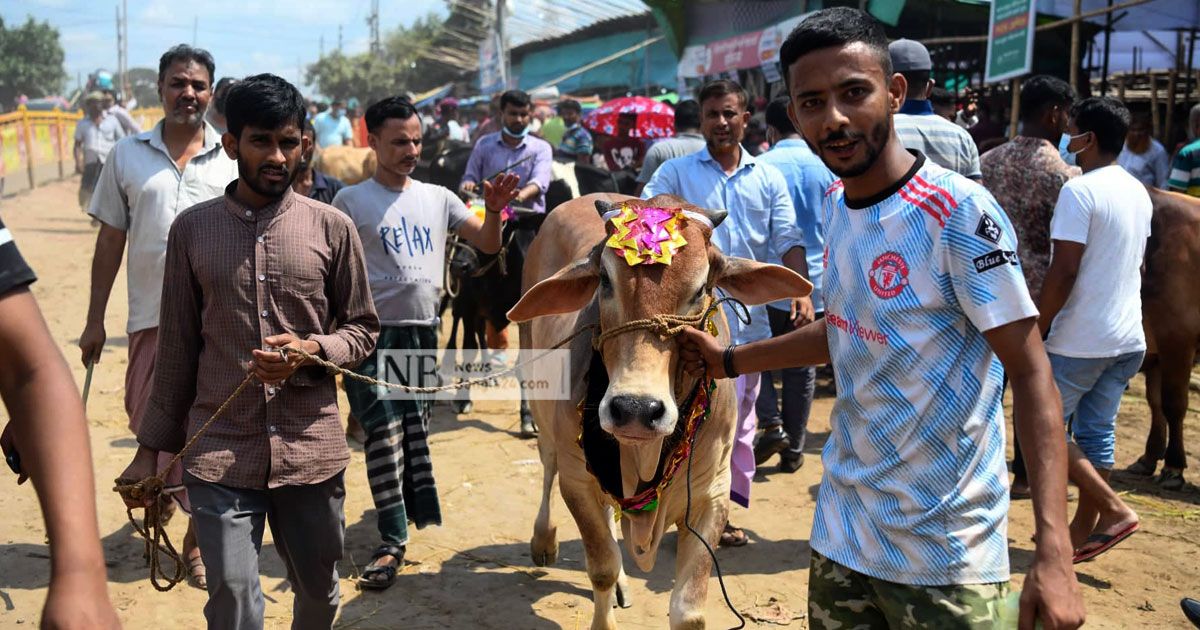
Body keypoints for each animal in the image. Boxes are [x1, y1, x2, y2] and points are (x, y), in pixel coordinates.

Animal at [511, 194, 811, 624]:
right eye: (605, 280)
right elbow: (601, 567)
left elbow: (689, 608)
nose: (635, 408)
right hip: (540, 403)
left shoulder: (712, 495)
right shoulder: (577, 480)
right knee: (548, 467)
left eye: (701, 288)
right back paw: (543, 540)